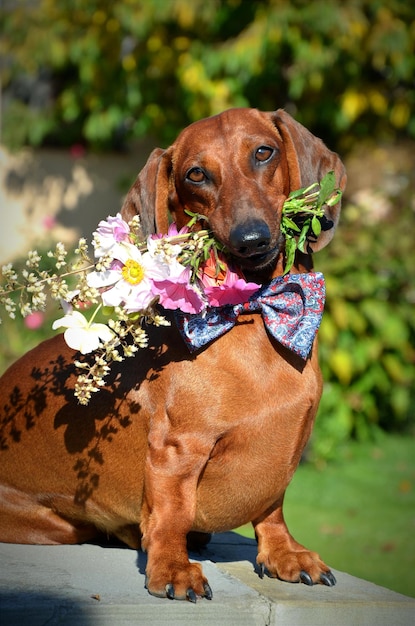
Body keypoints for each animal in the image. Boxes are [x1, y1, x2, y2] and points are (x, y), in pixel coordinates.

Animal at [0, 108, 348, 600]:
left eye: (264, 152)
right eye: (195, 174)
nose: (252, 240)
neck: (255, 313)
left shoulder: (282, 454)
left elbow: (271, 508)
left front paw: (284, 552)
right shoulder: (175, 448)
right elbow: (171, 514)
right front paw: (171, 566)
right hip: (59, 525)